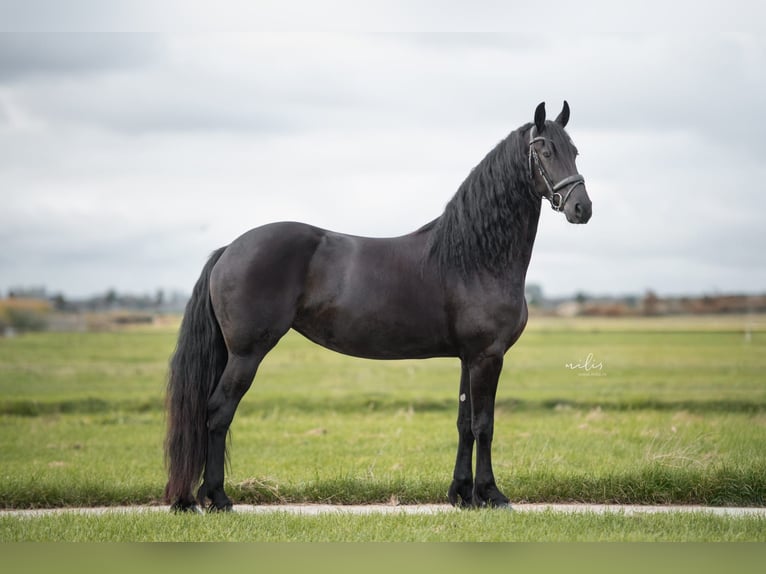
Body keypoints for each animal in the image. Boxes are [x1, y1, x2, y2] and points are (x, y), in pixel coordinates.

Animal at [164, 101, 592, 511]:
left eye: (574, 151)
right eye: (545, 150)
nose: (581, 208)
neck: (475, 257)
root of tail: (229, 249)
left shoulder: (468, 357)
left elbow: (464, 422)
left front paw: (461, 494)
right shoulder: (488, 355)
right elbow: (484, 424)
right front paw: (491, 495)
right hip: (246, 353)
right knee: (218, 413)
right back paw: (217, 498)